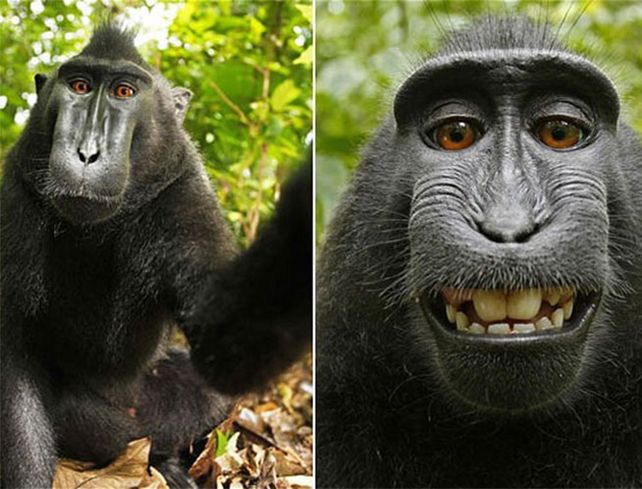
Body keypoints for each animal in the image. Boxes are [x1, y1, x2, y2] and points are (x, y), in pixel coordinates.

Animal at [0, 24, 311, 488]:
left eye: (124, 92)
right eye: (79, 86)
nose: (87, 154)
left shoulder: (184, 196)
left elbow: (227, 342)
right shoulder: (16, 199)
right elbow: (12, 367)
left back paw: (167, 464)